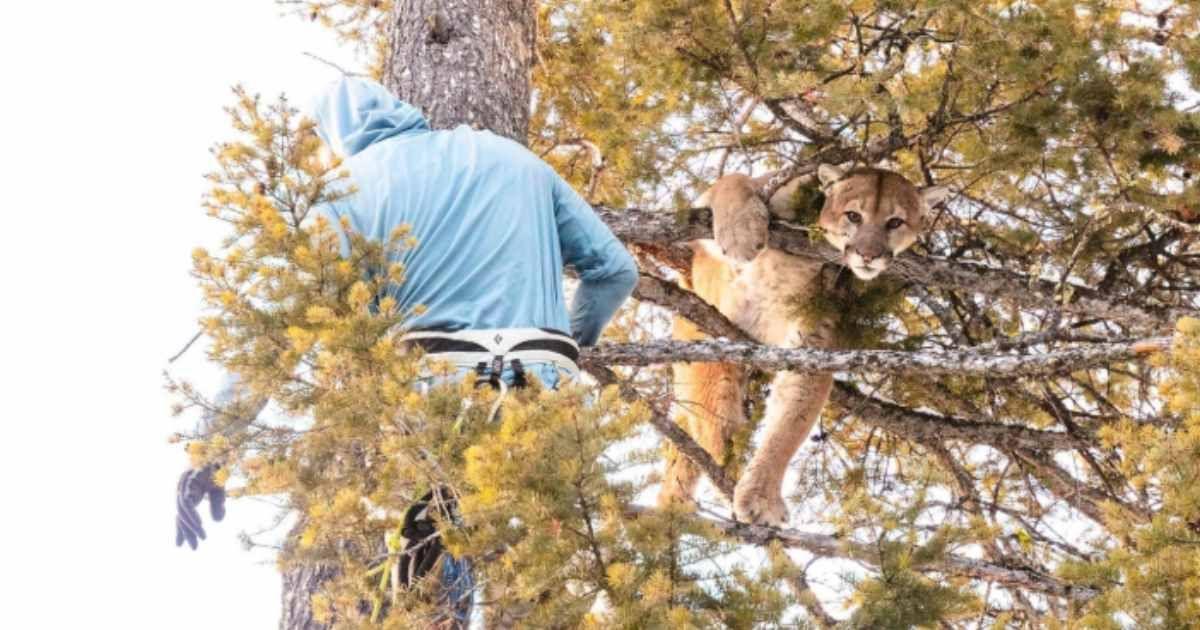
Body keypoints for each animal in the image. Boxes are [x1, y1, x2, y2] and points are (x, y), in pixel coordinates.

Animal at [658, 164, 948, 526]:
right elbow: (734, 182)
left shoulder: (812, 342)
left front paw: (760, 496)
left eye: (895, 222)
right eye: (853, 215)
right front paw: (742, 235)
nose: (868, 254)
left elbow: (789, 425)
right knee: (713, 430)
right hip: (709, 351)